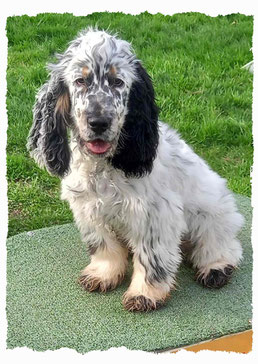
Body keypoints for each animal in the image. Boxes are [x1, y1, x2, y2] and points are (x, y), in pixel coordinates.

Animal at [27, 27, 245, 312]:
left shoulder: (154, 215)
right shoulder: (89, 210)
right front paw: (103, 274)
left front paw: (145, 294)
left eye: (118, 82)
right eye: (80, 81)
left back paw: (216, 268)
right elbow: (103, 246)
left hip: (212, 214)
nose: (99, 122)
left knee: (224, 244)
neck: (104, 166)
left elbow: (152, 259)